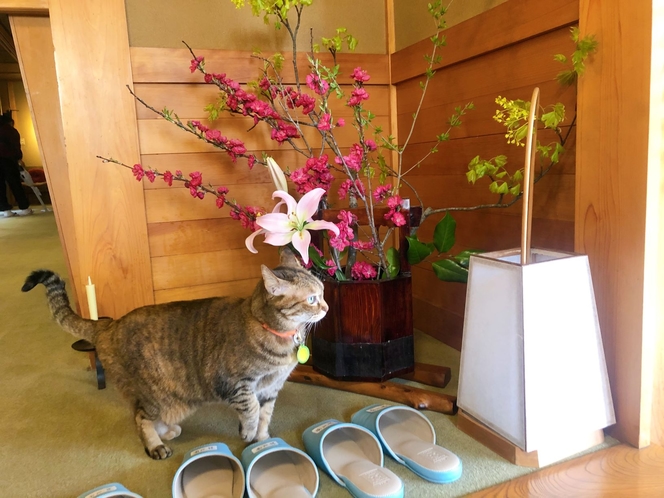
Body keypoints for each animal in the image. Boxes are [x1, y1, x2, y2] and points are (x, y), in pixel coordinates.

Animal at [22, 251, 328, 462]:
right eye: (312, 299)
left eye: (323, 293)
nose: (326, 307)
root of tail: (109, 325)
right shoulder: (236, 384)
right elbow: (252, 409)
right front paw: (249, 433)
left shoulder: (271, 388)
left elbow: (265, 415)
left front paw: (262, 441)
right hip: (154, 396)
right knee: (139, 418)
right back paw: (156, 444)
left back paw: (168, 431)